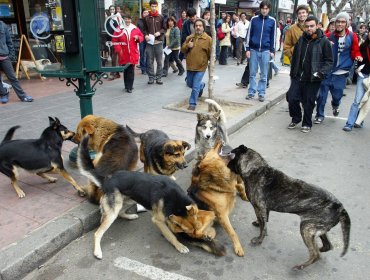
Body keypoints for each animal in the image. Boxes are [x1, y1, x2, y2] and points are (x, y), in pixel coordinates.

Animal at [76, 137, 224, 260]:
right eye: (184, 230)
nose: (198, 238)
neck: (176, 202)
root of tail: (107, 179)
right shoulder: (158, 220)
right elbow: (170, 235)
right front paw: (180, 246)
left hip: (127, 200)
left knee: (120, 213)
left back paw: (130, 216)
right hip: (115, 207)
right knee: (98, 232)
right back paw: (97, 252)